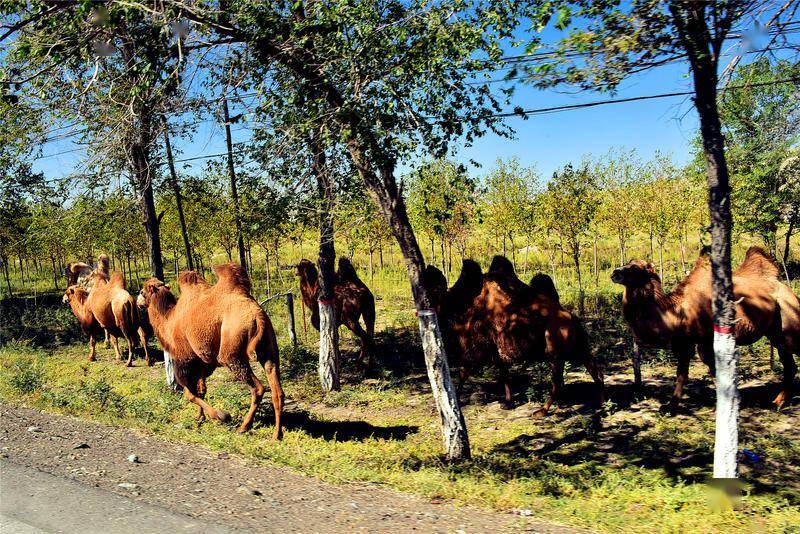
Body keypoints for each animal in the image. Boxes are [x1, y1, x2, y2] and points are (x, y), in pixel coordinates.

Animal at [138, 264, 284, 440]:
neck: (169, 321)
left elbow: (189, 394)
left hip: (231, 353)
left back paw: (244, 427)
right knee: (277, 389)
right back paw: (276, 434)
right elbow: (201, 390)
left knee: (258, 388)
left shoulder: (184, 358)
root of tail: (257, 314)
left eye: (142, 291)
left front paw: (221, 415)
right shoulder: (201, 362)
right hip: (268, 348)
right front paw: (199, 417)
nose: (138, 303)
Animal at [424, 258, 600, 416]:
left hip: (554, 350)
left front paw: (456, 400)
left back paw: (542, 411)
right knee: (591, 366)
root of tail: (573, 319)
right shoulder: (496, 348)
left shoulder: (477, 344)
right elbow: (504, 373)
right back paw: (601, 401)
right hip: (576, 346)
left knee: (558, 381)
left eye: (431, 294)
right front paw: (508, 403)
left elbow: (463, 371)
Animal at [616, 247, 796, 410]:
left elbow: (709, 369)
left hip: (788, 319)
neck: (676, 312)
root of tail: (784, 286)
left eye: (635, 268)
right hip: (775, 332)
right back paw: (778, 402)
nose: (615, 272)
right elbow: (683, 373)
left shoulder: (705, 341)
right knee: (789, 363)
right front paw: (670, 406)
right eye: (628, 263)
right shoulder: (686, 342)